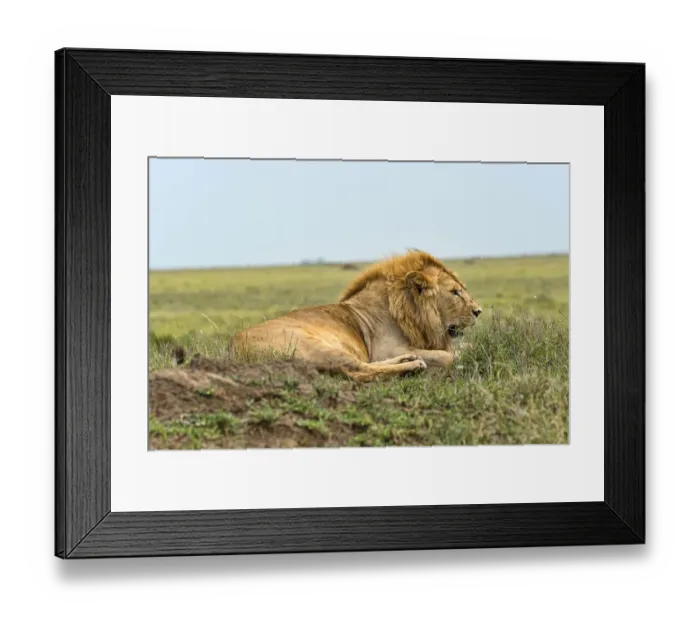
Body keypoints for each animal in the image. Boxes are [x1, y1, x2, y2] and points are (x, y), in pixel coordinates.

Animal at [231, 250, 483, 382]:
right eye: (455, 292)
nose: (478, 311)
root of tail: (234, 348)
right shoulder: (385, 349)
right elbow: (447, 356)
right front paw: (455, 360)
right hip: (314, 345)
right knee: (358, 369)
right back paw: (413, 365)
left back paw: (408, 360)